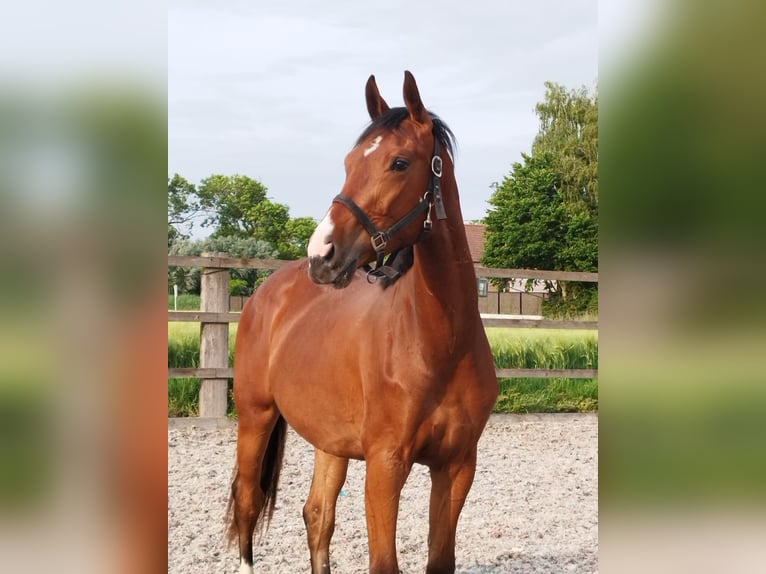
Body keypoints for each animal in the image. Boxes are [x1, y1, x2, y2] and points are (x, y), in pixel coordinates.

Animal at [227, 71, 499, 574]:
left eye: (399, 162)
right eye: (349, 161)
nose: (322, 255)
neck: (439, 343)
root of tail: (264, 295)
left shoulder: (456, 466)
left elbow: (440, 559)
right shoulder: (385, 464)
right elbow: (383, 562)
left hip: (329, 440)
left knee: (317, 515)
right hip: (256, 418)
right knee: (248, 504)